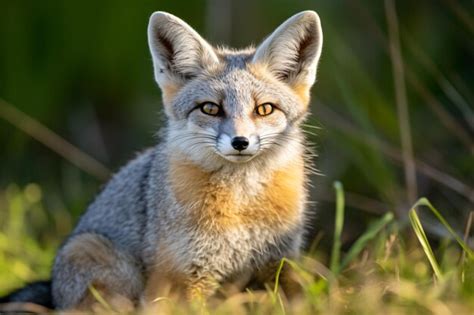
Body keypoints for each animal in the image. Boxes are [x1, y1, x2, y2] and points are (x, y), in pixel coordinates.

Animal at [0, 9, 324, 312]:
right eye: (210, 108)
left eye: (264, 109)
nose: (240, 142)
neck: (241, 207)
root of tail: (54, 288)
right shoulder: (182, 276)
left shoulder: (278, 264)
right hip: (99, 261)